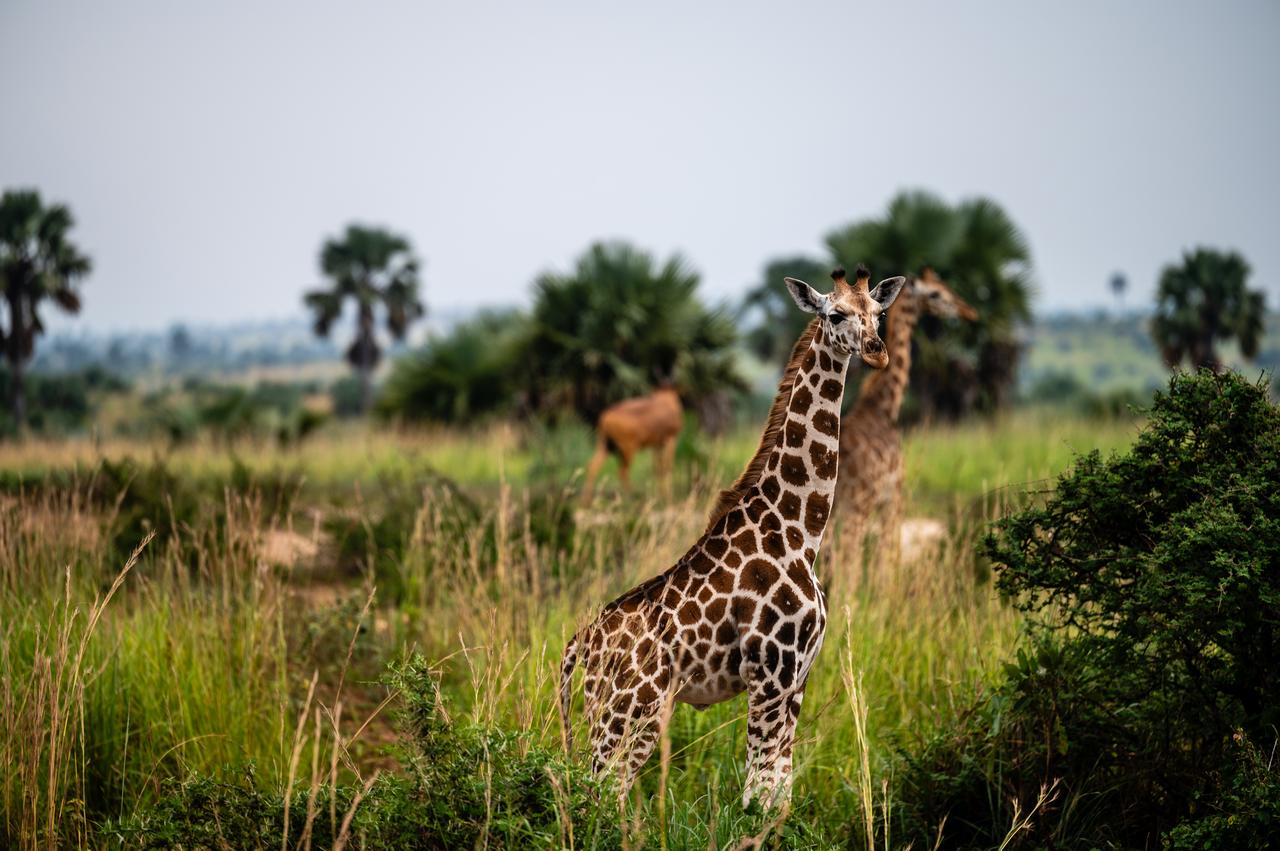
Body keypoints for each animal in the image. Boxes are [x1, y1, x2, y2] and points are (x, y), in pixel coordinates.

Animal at [559, 265, 906, 808]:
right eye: (835, 314)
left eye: (878, 312)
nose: (875, 350)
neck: (801, 530)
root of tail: (578, 645)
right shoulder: (769, 674)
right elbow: (755, 797)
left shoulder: (797, 678)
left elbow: (779, 792)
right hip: (628, 710)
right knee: (598, 790)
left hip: (628, 713)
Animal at [834, 268, 978, 558]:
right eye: (935, 294)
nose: (969, 312)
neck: (884, 406)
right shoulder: (894, 496)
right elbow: (887, 552)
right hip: (857, 504)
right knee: (848, 553)